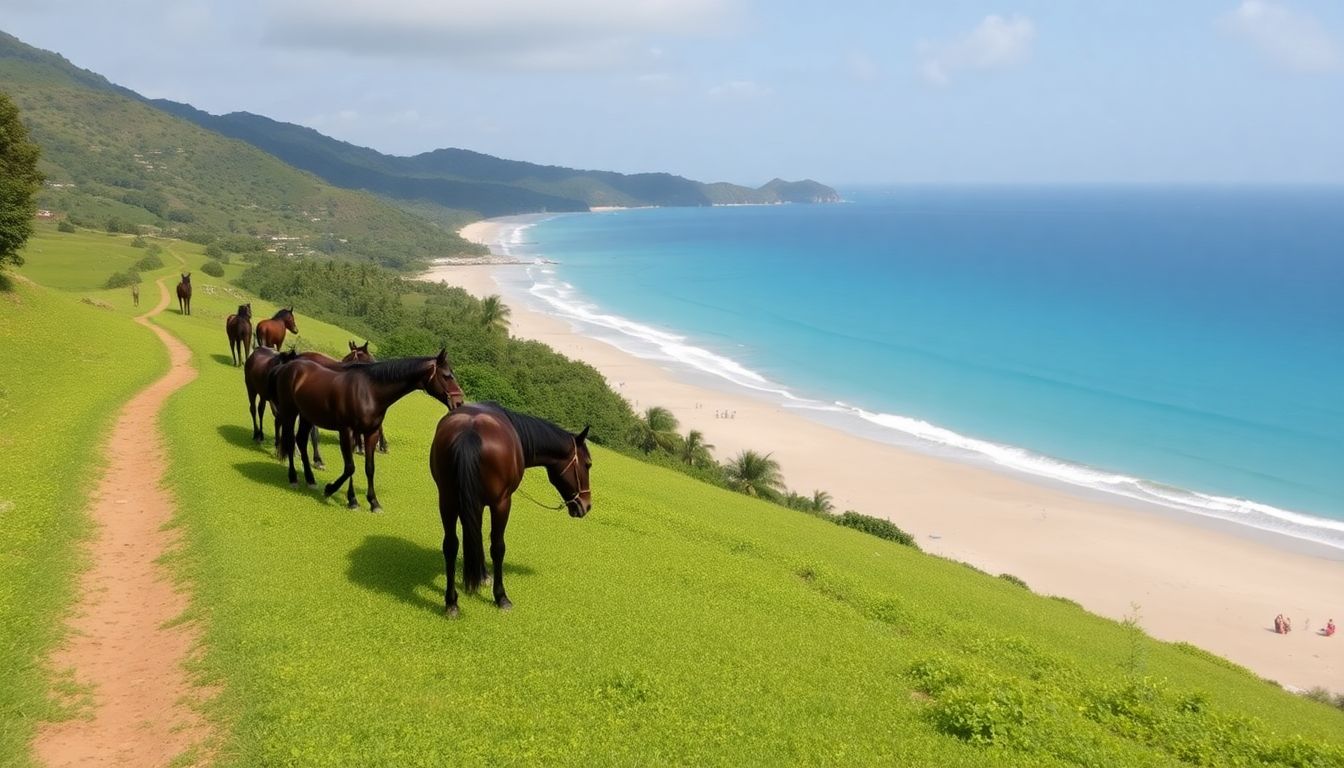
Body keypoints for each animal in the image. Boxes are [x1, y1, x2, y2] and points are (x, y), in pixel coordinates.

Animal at [270, 349, 465, 511]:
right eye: (447, 376)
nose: (459, 402)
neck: (370, 391)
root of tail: (288, 366)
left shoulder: (371, 434)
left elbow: (369, 468)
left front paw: (373, 502)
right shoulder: (347, 431)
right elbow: (350, 467)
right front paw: (339, 493)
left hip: (306, 416)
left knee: (301, 441)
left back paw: (310, 480)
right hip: (290, 412)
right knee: (290, 440)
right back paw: (293, 478)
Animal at [430, 406, 588, 616]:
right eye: (588, 464)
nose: (586, 504)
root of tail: (469, 432)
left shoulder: (473, 503)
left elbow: (474, 535)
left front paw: (480, 575)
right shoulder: (498, 502)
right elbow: (495, 546)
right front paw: (497, 593)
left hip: (447, 499)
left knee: (450, 545)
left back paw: (451, 602)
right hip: (500, 504)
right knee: (497, 547)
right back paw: (500, 596)